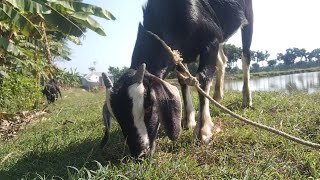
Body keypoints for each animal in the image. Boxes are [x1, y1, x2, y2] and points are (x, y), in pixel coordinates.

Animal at [101, 0, 254, 156]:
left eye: (149, 106)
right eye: (115, 116)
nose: (140, 153)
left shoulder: (211, 40)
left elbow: (203, 78)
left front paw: (203, 132)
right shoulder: (180, 53)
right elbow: (183, 81)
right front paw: (189, 121)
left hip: (247, 17)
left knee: (245, 56)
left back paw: (247, 99)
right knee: (222, 61)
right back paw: (217, 95)